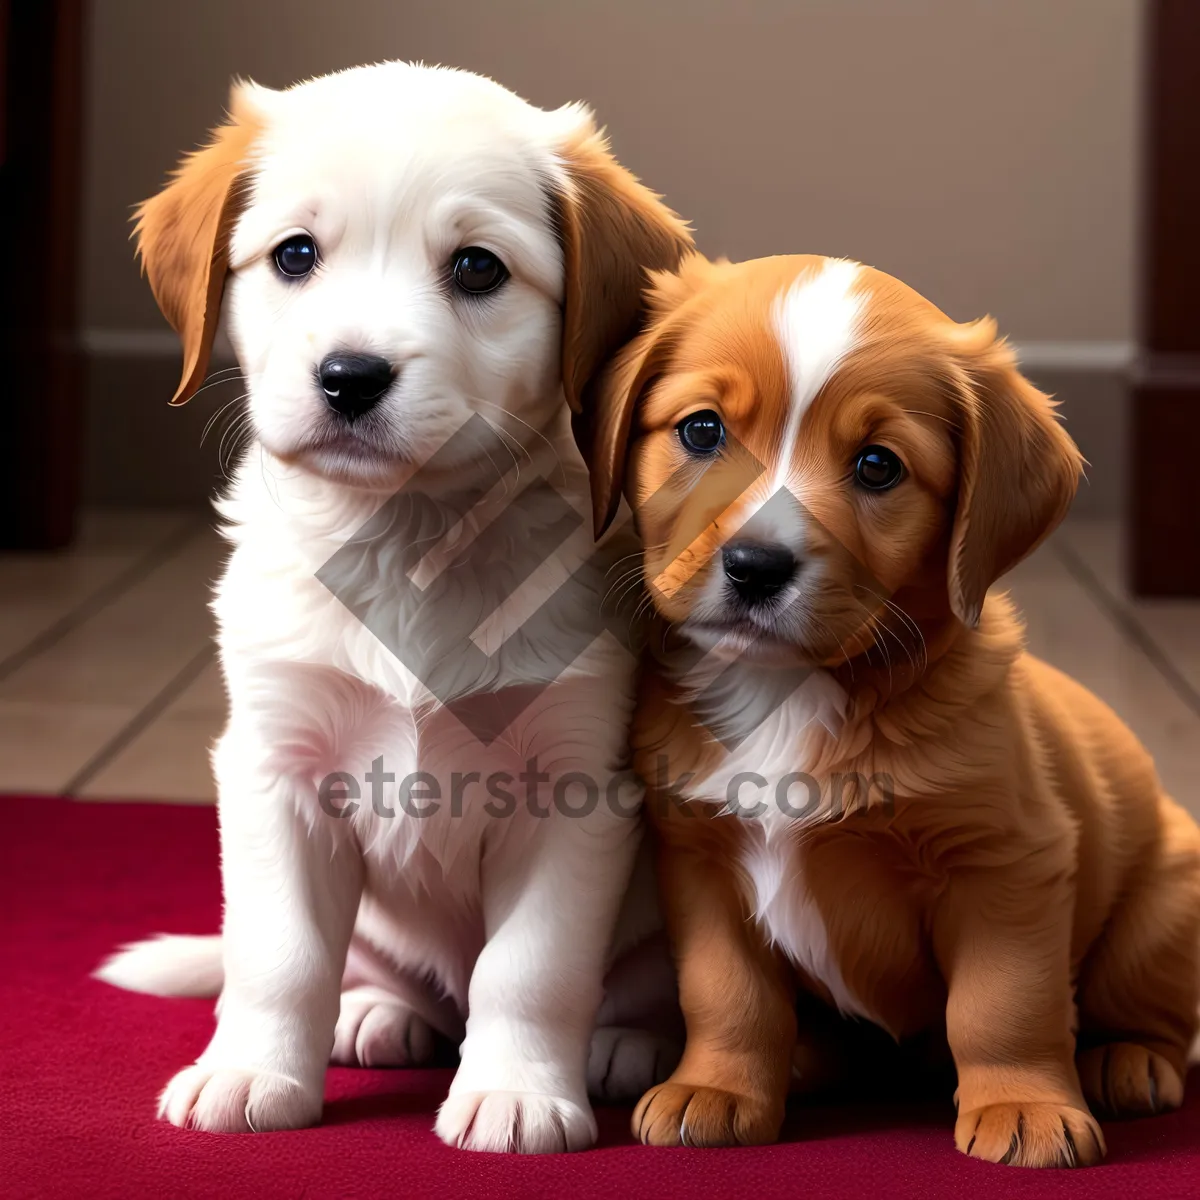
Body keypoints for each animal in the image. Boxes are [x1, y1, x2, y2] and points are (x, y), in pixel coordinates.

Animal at [100, 65, 696, 1152]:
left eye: (476, 269)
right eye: (295, 254)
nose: (350, 377)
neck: (411, 538)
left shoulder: (577, 790)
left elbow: (530, 969)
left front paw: (515, 1091)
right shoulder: (275, 770)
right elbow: (278, 953)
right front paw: (251, 1071)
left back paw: (626, 1041)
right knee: (378, 968)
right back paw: (377, 1012)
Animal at [590, 250, 1200, 1161]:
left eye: (878, 466)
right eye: (701, 431)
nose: (756, 566)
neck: (792, 691)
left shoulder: (1005, 865)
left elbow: (1002, 1005)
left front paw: (1022, 1105)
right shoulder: (699, 859)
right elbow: (726, 993)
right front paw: (718, 1086)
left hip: (1164, 904)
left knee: (1150, 1015)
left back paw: (1127, 1060)